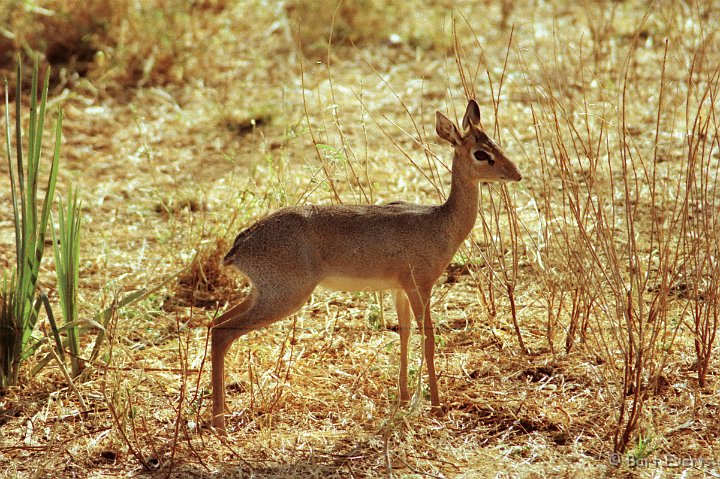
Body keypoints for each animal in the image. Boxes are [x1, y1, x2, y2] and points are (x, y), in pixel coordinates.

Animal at [211, 99, 520, 434]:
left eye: (495, 143)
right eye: (481, 153)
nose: (516, 174)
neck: (441, 222)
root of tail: (240, 245)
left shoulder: (399, 289)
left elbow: (404, 335)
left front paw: (404, 397)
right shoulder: (420, 285)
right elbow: (428, 340)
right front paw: (437, 406)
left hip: (262, 293)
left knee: (215, 325)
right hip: (285, 298)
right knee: (224, 332)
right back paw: (219, 424)